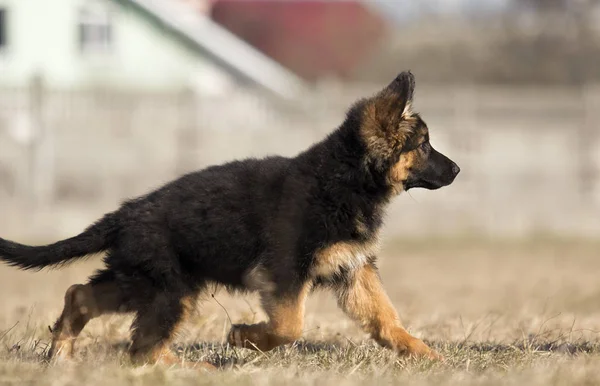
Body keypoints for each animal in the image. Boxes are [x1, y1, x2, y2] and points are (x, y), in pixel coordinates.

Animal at [0, 71, 460, 368]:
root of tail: (126, 212)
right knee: (141, 347)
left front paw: (421, 353)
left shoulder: (353, 269)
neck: (342, 178)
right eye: (424, 145)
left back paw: (62, 355)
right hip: (168, 288)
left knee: (82, 296)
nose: (457, 170)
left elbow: (385, 318)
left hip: (146, 280)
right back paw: (191, 370)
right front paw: (246, 338)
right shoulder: (286, 272)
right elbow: (290, 326)